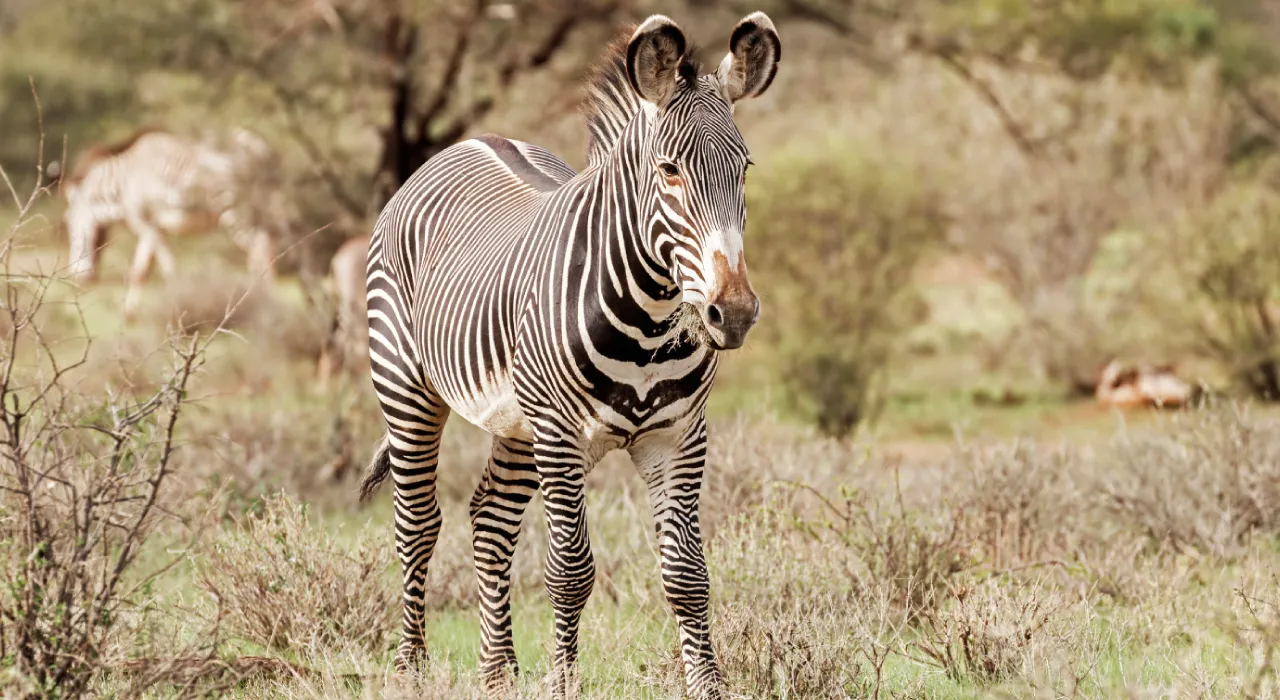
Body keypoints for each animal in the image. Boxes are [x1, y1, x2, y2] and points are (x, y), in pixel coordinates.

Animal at [62, 127, 282, 318]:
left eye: (70, 228)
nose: (75, 279)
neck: (123, 184)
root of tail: (258, 148)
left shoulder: (146, 225)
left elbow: (163, 268)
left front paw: (178, 307)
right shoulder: (154, 227)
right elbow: (140, 271)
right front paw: (129, 316)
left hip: (234, 211)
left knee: (259, 246)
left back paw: (264, 301)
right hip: (257, 209)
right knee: (264, 245)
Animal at [360, 10, 778, 700]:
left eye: (744, 169)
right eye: (669, 170)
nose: (735, 312)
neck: (650, 320)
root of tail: (470, 142)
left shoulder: (679, 436)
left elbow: (687, 573)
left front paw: (708, 686)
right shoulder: (560, 433)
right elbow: (571, 568)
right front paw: (562, 683)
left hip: (516, 425)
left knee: (490, 521)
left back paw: (498, 673)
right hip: (408, 389)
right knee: (417, 524)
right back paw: (409, 669)